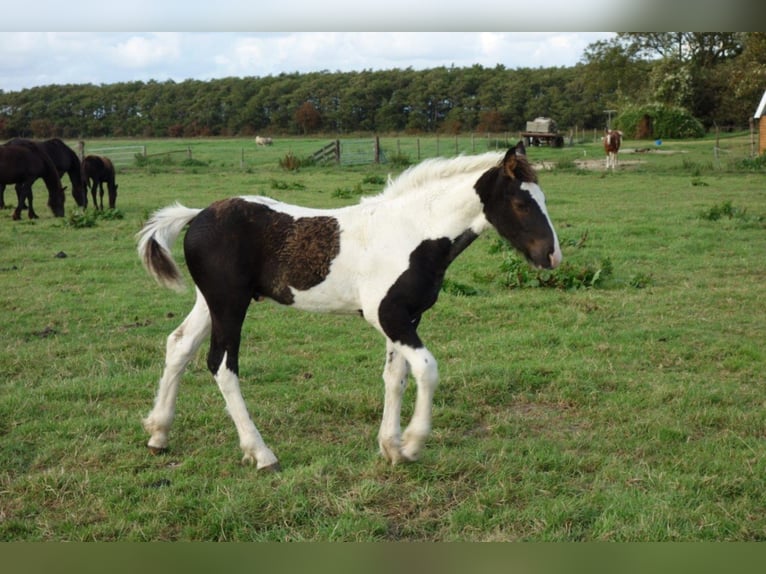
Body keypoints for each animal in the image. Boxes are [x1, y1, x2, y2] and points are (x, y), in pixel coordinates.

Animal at [138, 142, 560, 470]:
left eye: (543, 199)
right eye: (521, 202)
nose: (552, 256)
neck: (413, 232)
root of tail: (197, 215)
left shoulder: (406, 317)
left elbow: (395, 376)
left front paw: (391, 447)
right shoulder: (386, 315)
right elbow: (426, 369)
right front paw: (412, 443)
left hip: (211, 301)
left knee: (178, 345)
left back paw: (158, 434)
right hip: (230, 304)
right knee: (222, 365)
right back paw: (261, 454)